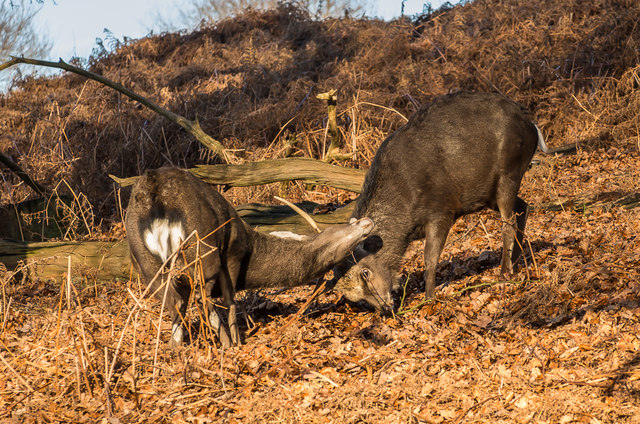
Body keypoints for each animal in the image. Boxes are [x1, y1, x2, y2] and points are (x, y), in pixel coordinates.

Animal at [125, 167, 376, 350]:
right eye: (334, 233)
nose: (366, 221)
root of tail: (155, 197)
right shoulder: (233, 255)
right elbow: (230, 300)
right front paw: (237, 339)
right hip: (203, 248)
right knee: (202, 299)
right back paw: (227, 344)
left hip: (146, 263)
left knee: (174, 303)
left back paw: (175, 349)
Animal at [332, 91, 548, 314]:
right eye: (356, 297)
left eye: (365, 272)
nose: (385, 307)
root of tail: (532, 125)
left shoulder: (442, 210)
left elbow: (430, 258)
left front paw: (429, 298)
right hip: (489, 193)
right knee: (523, 207)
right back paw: (518, 262)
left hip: (509, 173)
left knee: (508, 223)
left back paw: (505, 271)